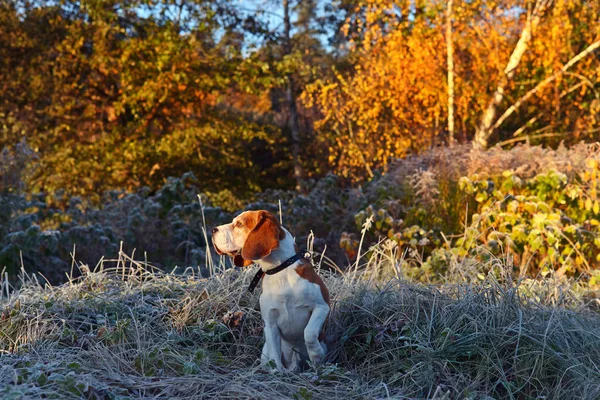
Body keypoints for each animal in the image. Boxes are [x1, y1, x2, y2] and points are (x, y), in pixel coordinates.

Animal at [211, 211, 330, 370]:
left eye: (239, 224)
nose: (213, 230)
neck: (281, 270)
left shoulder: (322, 306)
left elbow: (309, 332)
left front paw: (316, 356)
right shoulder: (270, 323)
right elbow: (274, 353)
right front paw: (277, 371)